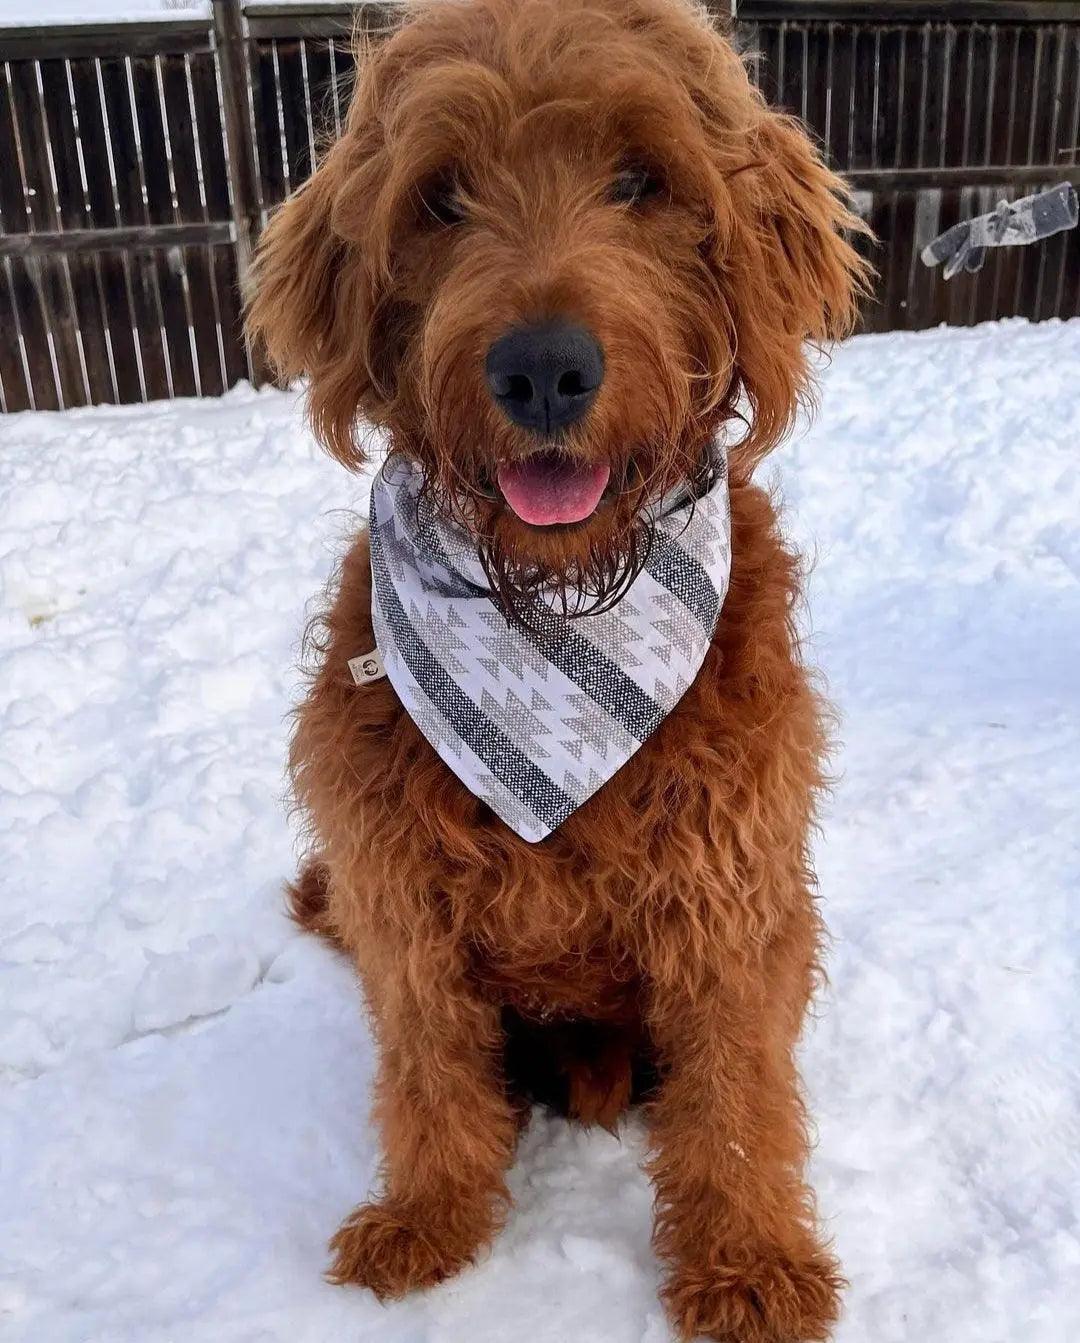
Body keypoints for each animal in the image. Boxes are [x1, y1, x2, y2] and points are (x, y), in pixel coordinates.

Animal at [247, 5, 870, 1337]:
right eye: (441, 197)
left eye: (640, 178)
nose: (542, 370)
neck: (552, 614)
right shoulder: (397, 890)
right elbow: (429, 1068)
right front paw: (432, 1217)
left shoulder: (729, 895)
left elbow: (735, 1099)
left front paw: (749, 1262)